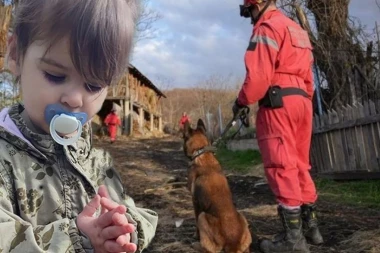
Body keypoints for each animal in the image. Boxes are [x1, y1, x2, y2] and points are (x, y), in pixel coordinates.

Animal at [182, 119, 251, 253]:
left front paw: (195, 236)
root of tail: (232, 243)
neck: (202, 153)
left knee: (210, 249)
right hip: (243, 218)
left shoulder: (195, 202)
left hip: (203, 216)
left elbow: (196, 222)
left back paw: (196, 245)